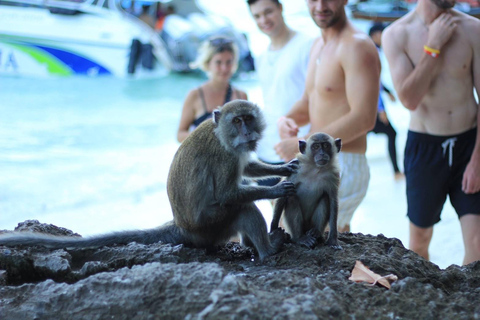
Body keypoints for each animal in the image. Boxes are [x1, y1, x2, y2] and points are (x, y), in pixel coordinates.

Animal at [0, 100, 296, 262]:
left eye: (248, 119)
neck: (220, 133)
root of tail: (182, 227)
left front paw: (284, 168)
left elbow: (249, 168)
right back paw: (267, 250)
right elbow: (226, 193)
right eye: (237, 121)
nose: (247, 132)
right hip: (211, 228)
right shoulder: (225, 156)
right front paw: (277, 188)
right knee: (242, 209)